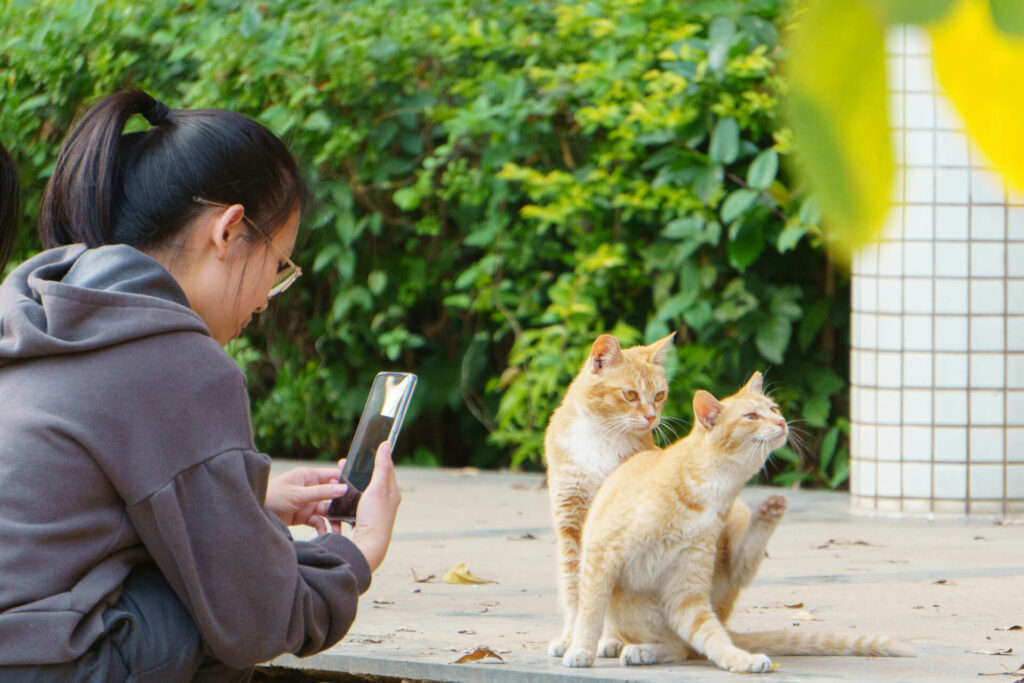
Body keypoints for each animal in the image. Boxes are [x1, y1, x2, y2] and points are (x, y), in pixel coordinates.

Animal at [544, 333, 679, 659]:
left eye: (659, 395)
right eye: (630, 395)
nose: (652, 417)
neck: (600, 440)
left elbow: (602, 599)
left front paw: (606, 640)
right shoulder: (570, 525)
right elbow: (574, 592)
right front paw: (570, 638)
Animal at [565, 370, 917, 671]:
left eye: (773, 408)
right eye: (752, 417)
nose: (782, 421)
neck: (710, 490)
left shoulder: (687, 588)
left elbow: (710, 636)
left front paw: (740, 660)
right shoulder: (601, 556)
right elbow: (589, 613)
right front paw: (580, 650)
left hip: (732, 539)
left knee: (686, 644)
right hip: (629, 603)